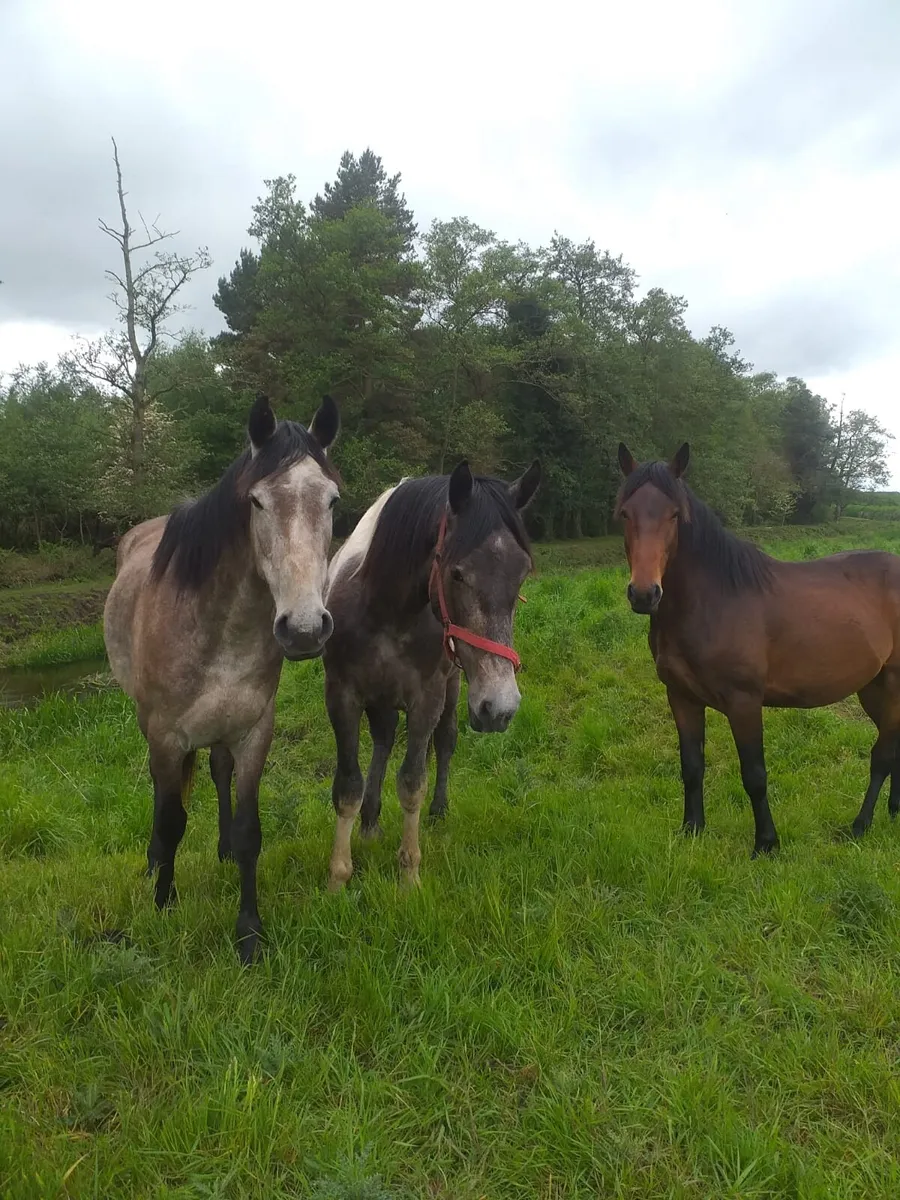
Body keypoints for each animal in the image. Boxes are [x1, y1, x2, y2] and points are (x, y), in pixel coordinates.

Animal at [104, 393, 340, 962]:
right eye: (256, 502)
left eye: (332, 502)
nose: (304, 629)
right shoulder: (166, 734)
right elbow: (171, 819)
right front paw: (163, 901)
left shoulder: (255, 730)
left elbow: (251, 828)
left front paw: (249, 932)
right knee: (166, 796)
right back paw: (154, 864)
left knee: (217, 771)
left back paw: (223, 850)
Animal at [322, 457, 541, 891]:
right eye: (457, 573)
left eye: (522, 573)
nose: (502, 707)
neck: (386, 612)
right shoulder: (343, 696)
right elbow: (349, 785)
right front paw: (339, 878)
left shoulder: (427, 697)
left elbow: (412, 783)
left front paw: (409, 875)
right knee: (384, 740)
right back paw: (369, 822)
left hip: (454, 689)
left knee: (445, 741)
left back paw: (438, 811)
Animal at [616, 441, 900, 857]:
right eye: (626, 513)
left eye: (674, 514)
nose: (643, 593)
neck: (713, 601)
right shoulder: (681, 697)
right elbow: (691, 766)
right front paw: (692, 829)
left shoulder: (744, 702)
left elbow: (754, 774)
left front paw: (766, 844)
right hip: (872, 687)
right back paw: (894, 812)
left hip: (893, 684)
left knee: (883, 755)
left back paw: (859, 826)